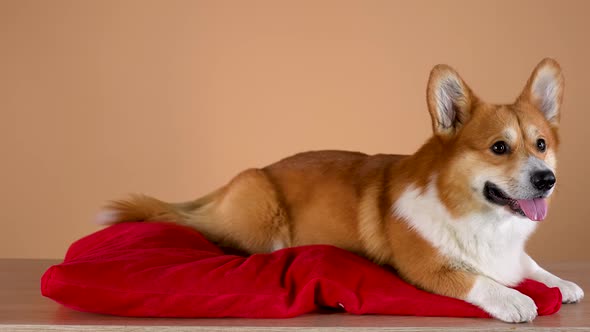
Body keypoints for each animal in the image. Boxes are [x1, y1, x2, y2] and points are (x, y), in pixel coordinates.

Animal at [99, 59, 584, 322]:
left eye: (541, 144)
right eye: (499, 147)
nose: (546, 179)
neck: (479, 216)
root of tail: (220, 193)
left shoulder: (514, 253)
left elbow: (531, 265)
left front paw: (561, 282)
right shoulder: (427, 268)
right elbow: (477, 280)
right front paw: (516, 299)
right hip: (260, 209)